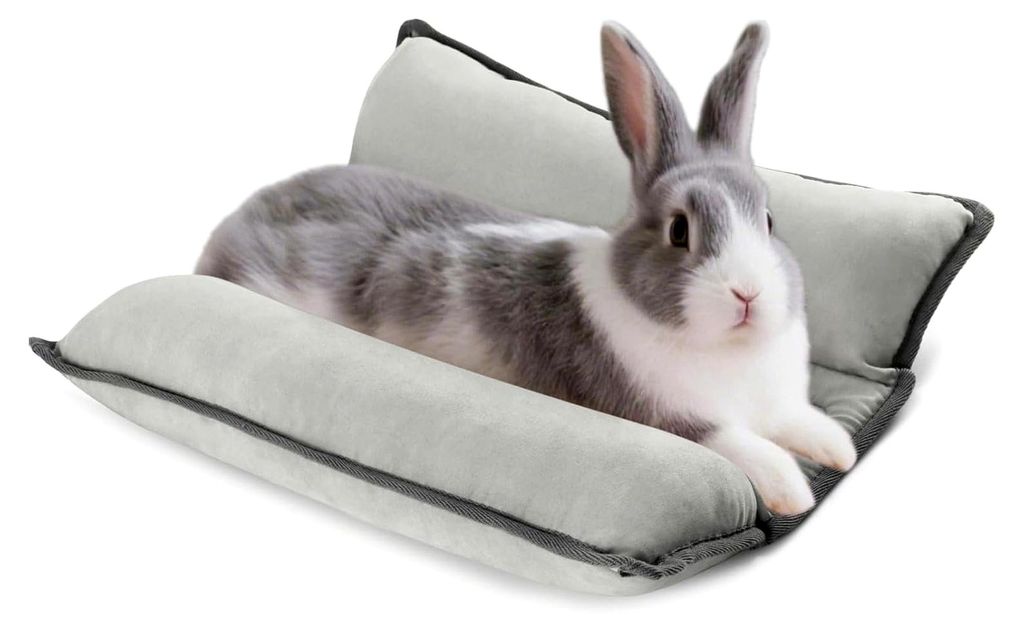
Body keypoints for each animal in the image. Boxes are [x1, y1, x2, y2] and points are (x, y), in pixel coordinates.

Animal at [196, 21, 856, 515]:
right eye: (679, 230)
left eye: (768, 221)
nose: (748, 295)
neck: (728, 352)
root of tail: (236, 224)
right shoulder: (665, 416)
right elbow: (739, 445)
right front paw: (794, 492)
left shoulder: (777, 405)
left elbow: (801, 421)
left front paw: (840, 450)